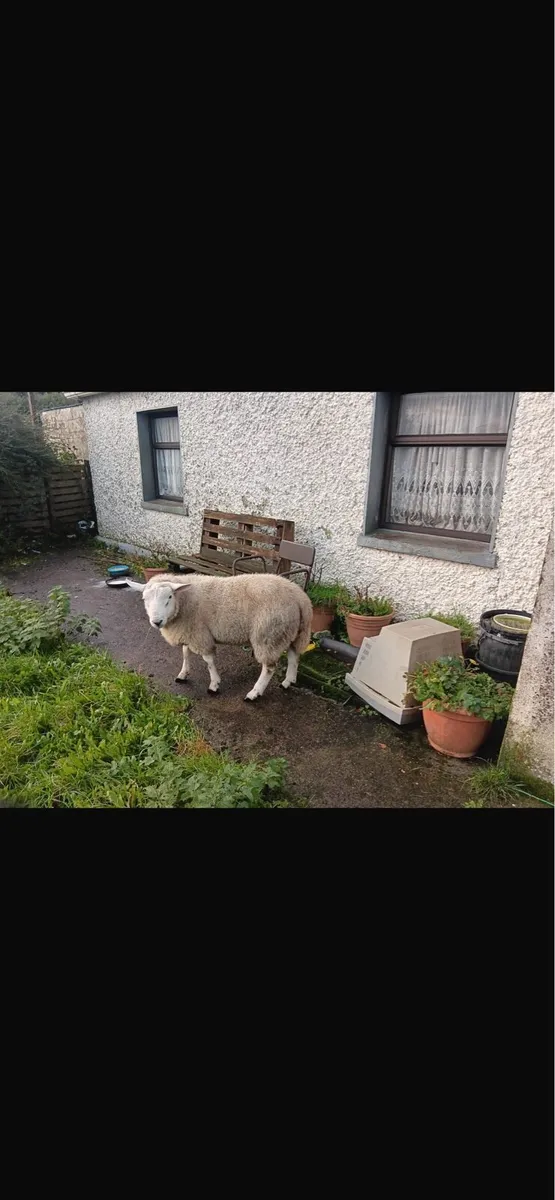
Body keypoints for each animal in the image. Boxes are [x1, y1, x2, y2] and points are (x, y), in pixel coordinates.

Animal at [130, 573, 313, 701]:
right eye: (144, 599)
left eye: (169, 597)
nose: (156, 622)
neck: (184, 601)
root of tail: (300, 597)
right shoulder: (189, 631)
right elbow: (185, 653)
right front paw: (183, 673)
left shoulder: (200, 634)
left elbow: (208, 661)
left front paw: (214, 684)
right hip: (292, 631)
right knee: (294, 656)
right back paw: (288, 681)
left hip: (268, 635)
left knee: (269, 667)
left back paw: (254, 693)